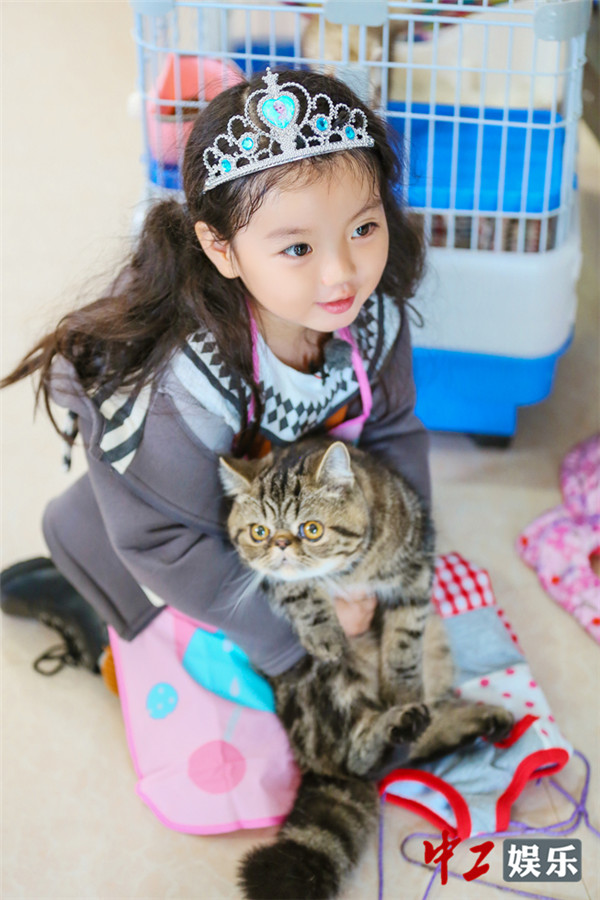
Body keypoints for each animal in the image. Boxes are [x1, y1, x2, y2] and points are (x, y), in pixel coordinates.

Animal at [219, 439, 513, 900]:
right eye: (259, 532)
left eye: (312, 529)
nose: (281, 545)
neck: (349, 571)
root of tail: (315, 764)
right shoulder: (272, 581)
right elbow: (297, 590)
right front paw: (325, 632)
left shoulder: (415, 574)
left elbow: (403, 644)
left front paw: (401, 686)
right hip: (323, 690)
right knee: (360, 760)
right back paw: (400, 727)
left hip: (435, 645)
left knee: (411, 743)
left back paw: (464, 719)